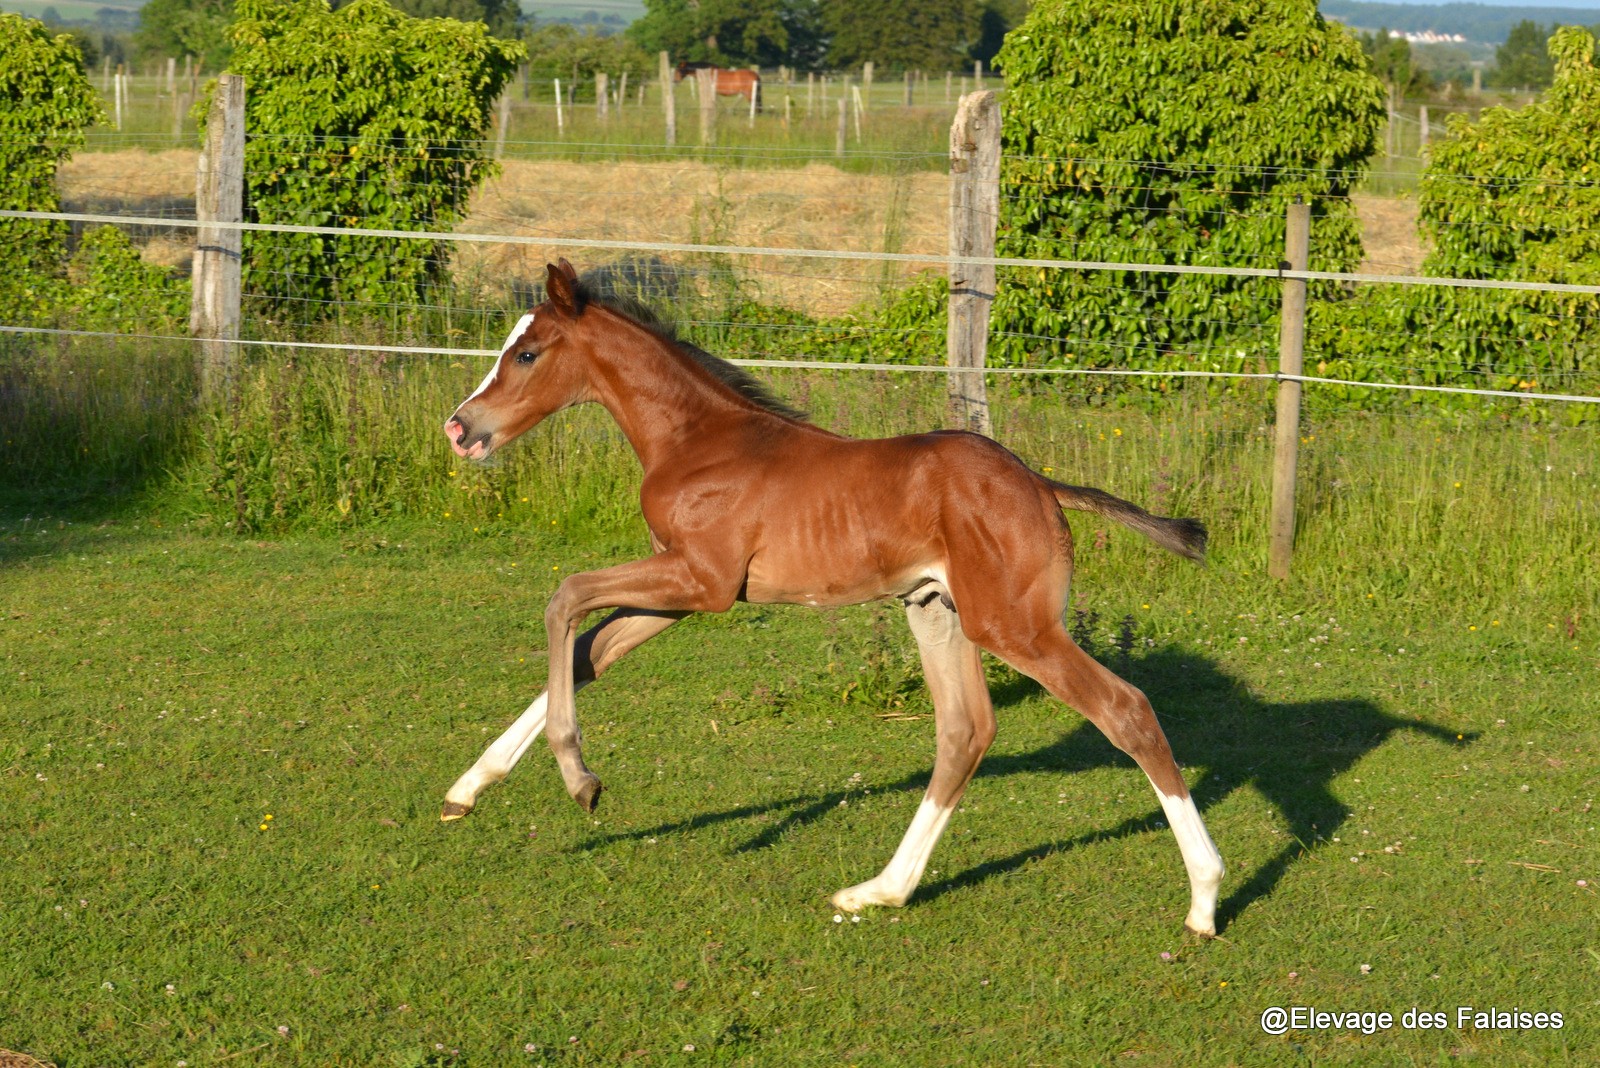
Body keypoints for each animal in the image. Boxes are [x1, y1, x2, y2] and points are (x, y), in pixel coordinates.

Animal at [438, 259, 1222, 933]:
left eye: (527, 353)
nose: (460, 428)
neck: (696, 439)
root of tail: (1039, 484)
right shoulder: (685, 587)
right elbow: (588, 652)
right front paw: (470, 786)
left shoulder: (702, 581)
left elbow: (565, 599)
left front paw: (580, 780)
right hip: (935, 612)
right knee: (965, 731)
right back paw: (880, 890)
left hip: (1012, 625)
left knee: (1124, 709)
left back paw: (1205, 900)